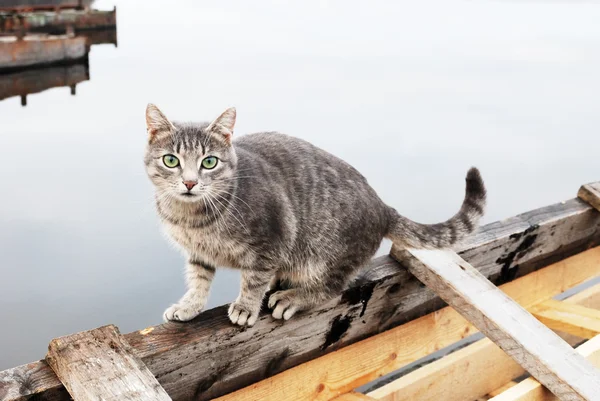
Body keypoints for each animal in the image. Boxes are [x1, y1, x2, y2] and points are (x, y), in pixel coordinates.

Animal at [145, 105, 488, 324]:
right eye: (171, 160)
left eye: (210, 162)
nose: (190, 182)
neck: (192, 219)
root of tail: (383, 206)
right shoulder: (197, 253)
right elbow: (199, 280)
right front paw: (189, 305)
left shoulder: (272, 240)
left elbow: (253, 280)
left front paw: (245, 306)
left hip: (325, 255)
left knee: (332, 288)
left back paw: (292, 297)